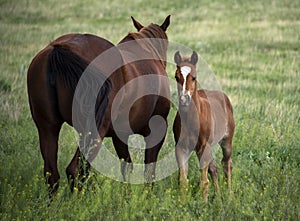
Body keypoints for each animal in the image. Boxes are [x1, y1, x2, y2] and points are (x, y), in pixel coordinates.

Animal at [173, 50, 234, 202]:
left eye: (194, 77)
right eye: (176, 77)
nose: (184, 99)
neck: (191, 120)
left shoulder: (203, 146)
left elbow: (204, 181)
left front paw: (203, 204)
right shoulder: (181, 147)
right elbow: (183, 180)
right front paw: (182, 204)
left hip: (226, 142)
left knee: (227, 164)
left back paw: (229, 196)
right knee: (214, 167)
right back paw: (218, 198)